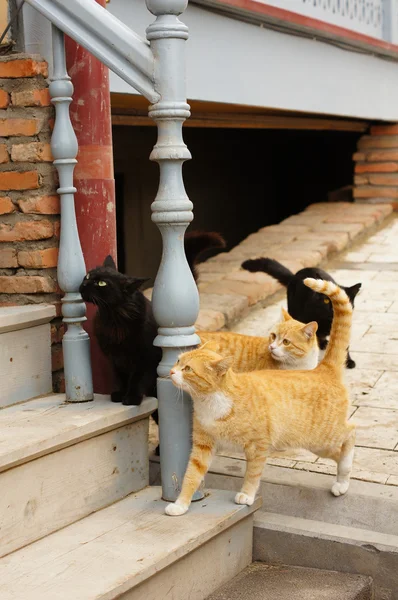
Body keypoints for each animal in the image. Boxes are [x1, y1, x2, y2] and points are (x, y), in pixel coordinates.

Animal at [79, 232, 225, 406]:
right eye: (88, 275)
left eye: (101, 283)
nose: (83, 284)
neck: (114, 317)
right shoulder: (115, 357)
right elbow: (120, 377)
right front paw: (119, 394)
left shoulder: (145, 357)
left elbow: (138, 378)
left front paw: (131, 398)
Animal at [165, 278, 354, 516]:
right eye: (178, 361)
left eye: (188, 369)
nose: (171, 371)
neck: (210, 401)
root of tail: (322, 369)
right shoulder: (202, 446)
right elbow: (191, 475)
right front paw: (181, 504)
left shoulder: (258, 446)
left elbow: (253, 473)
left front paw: (246, 494)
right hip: (318, 444)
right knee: (339, 452)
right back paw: (342, 480)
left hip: (324, 435)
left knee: (351, 433)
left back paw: (345, 470)